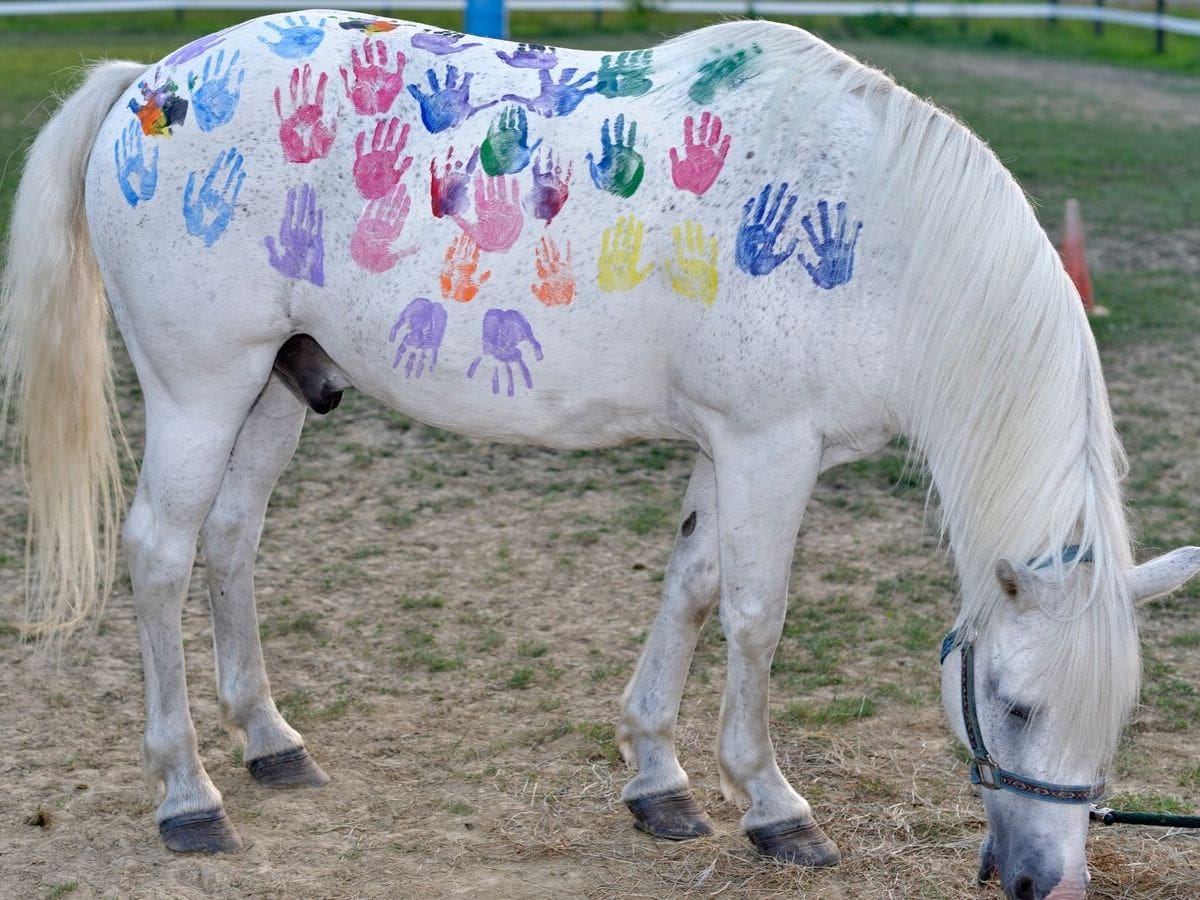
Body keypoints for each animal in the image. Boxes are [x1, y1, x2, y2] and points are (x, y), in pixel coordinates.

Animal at [3, 12, 1198, 898]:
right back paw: (188, 796)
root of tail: (148, 83)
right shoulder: (770, 449)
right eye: (1012, 702)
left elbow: (692, 586)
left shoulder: (729, 446)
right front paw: (772, 805)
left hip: (275, 390)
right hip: (202, 389)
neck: (887, 240)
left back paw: (269, 742)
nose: (1051, 882)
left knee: (231, 540)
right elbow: (754, 617)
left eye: (1118, 716)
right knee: (160, 554)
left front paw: (659, 779)